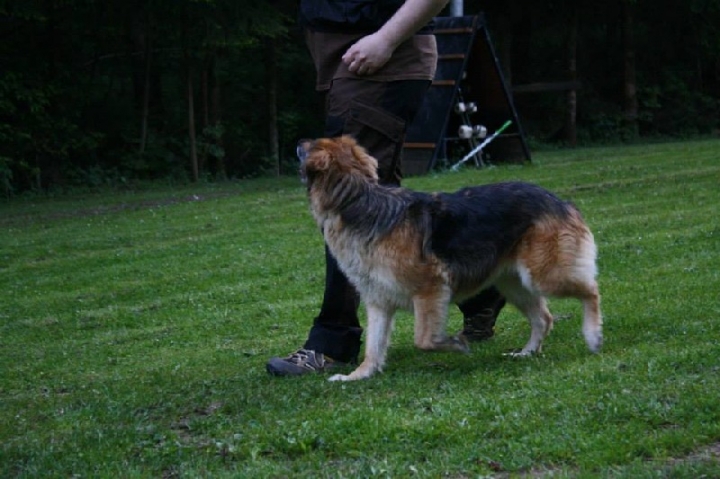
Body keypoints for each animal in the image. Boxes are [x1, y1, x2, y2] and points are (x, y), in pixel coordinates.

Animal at [296, 136, 600, 382]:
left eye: (309, 146)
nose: (299, 142)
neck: (358, 202)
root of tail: (560, 201)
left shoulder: (429, 288)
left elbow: (424, 340)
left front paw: (455, 344)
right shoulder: (378, 301)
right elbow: (373, 346)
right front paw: (359, 375)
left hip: (545, 276)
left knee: (591, 291)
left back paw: (593, 335)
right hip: (515, 284)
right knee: (544, 318)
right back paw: (527, 352)